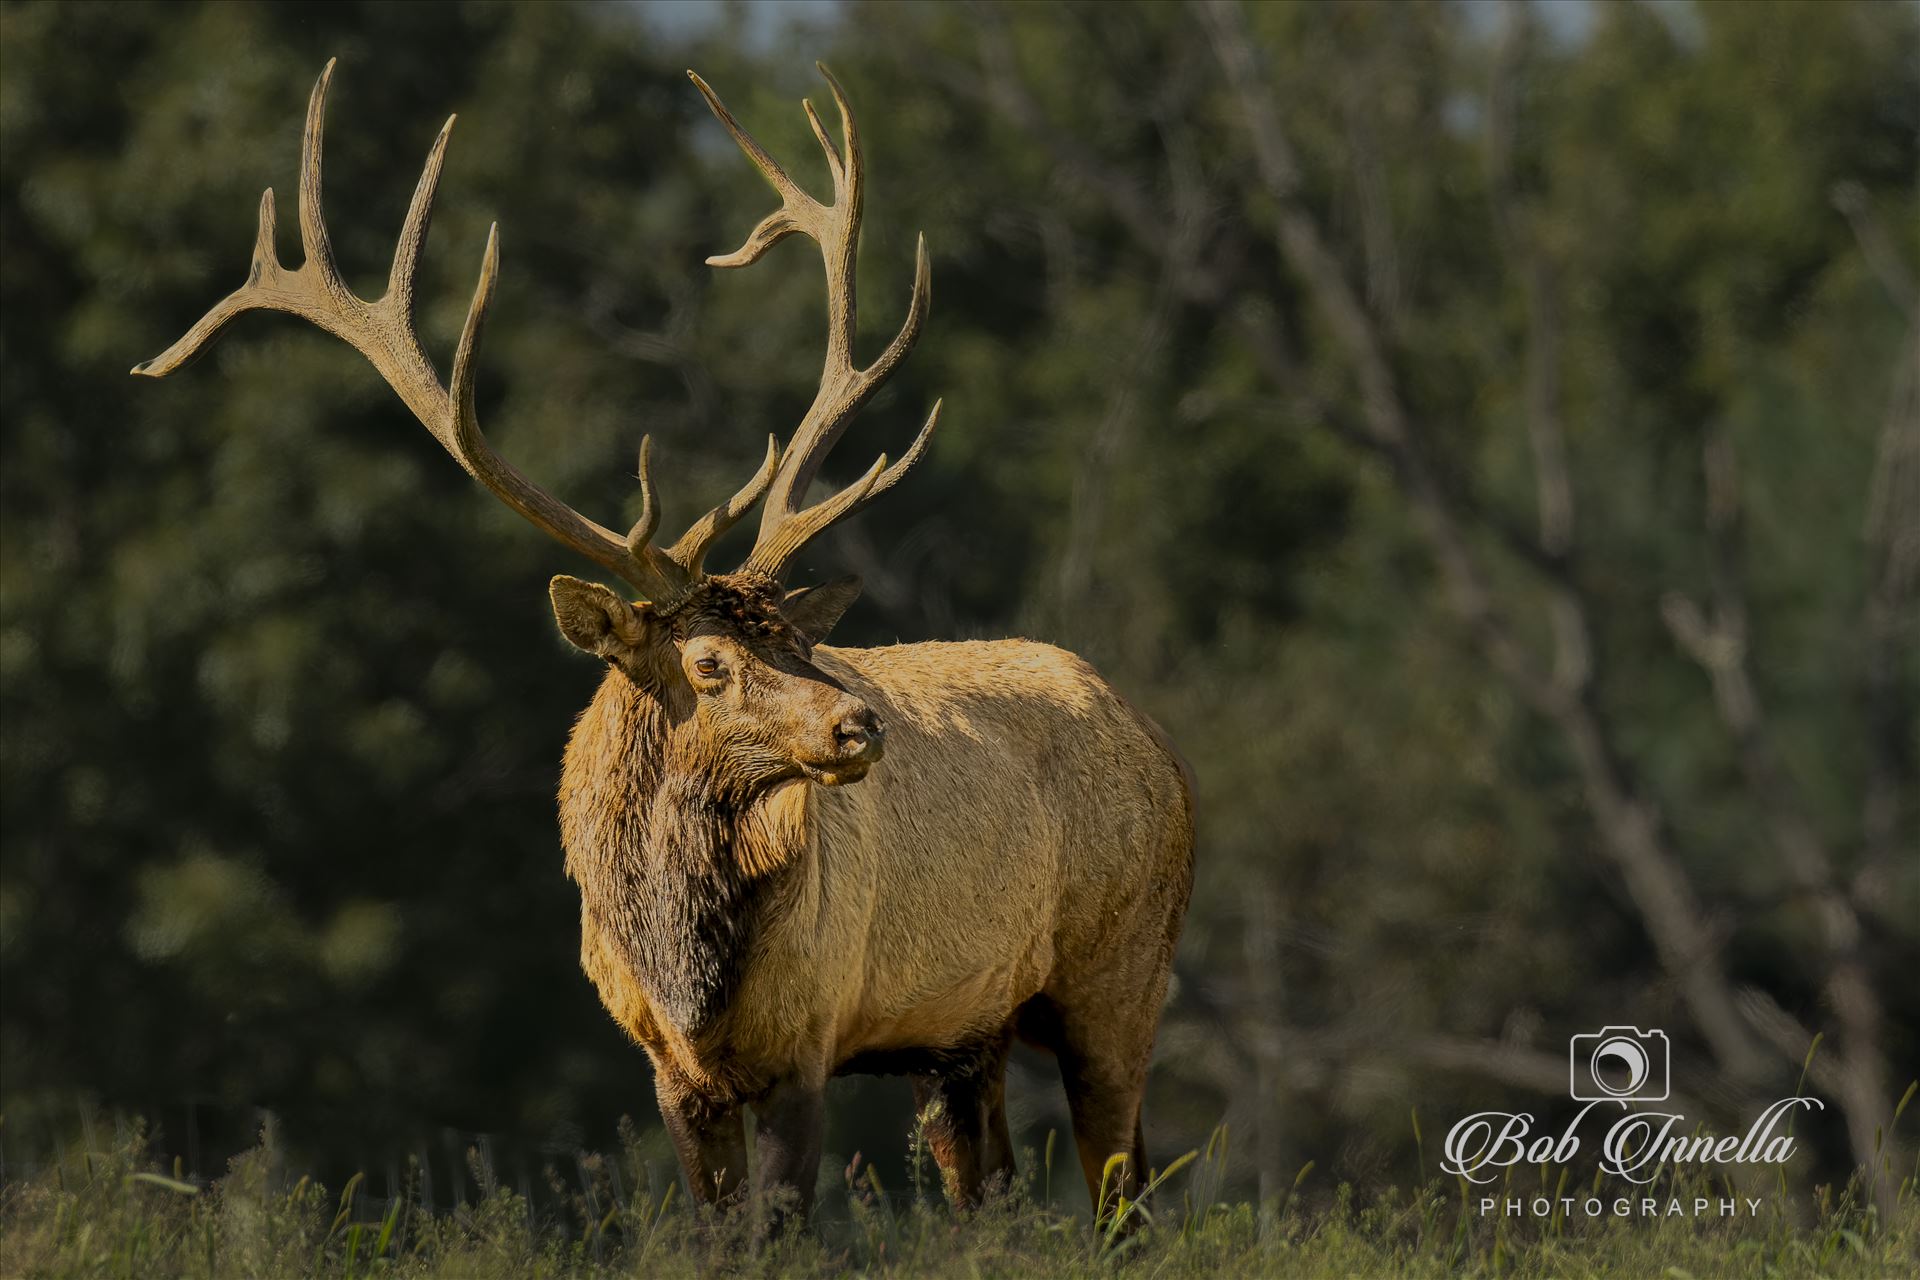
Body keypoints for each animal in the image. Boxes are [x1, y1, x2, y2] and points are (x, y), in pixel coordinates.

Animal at [135, 65, 1190, 1228]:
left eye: (798, 640)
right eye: (708, 663)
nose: (858, 724)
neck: (689, 972)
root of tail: (1157, 739)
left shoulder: (809, 1039)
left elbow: (781, 1230)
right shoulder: (668, 1067)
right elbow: (718, 1233)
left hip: (1122, 970)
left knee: (1127, 1197)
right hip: (969, 1036)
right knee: (997, 1192)